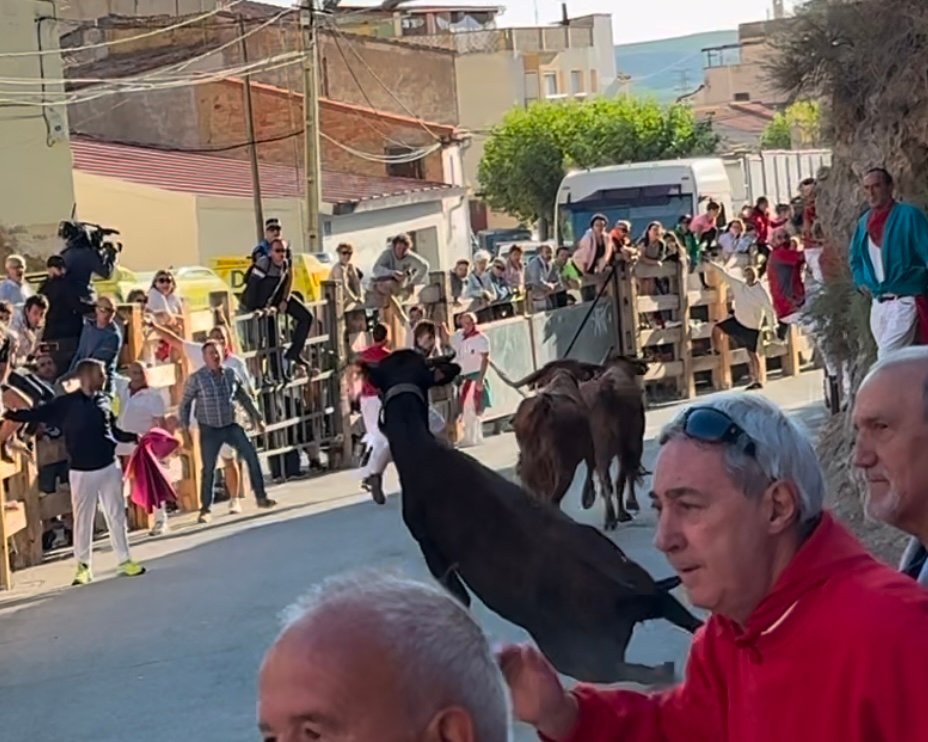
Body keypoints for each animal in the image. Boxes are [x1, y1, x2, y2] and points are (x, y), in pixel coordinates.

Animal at [512, 372, 600, 512]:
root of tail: (543, 406)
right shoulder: (589, 447)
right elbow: (591, 466)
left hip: (533, 468)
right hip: (565, 468)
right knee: (554, 497)